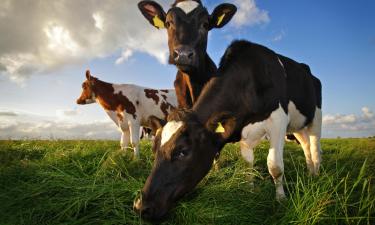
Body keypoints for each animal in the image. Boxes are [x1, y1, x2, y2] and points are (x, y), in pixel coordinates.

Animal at [134, 40, 324, 220]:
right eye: (153, 150)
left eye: (183, 151)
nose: (141, 207)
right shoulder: (244, 131)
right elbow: (247, 164)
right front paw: (250, 191)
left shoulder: (278, 120)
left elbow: (275, 166)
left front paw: (281, 200)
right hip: (298, 126)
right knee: (306, 146)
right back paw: (309, 172)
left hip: (316, 118)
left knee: (314, 147)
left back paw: (316, 174)